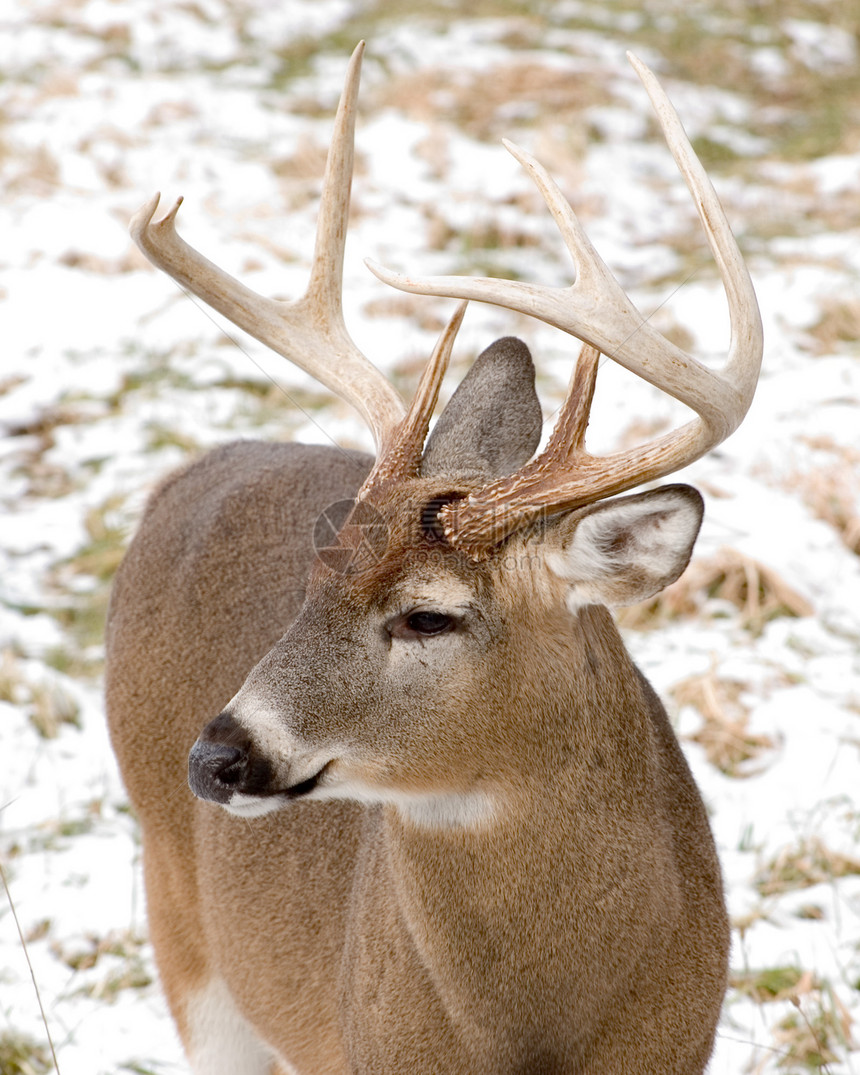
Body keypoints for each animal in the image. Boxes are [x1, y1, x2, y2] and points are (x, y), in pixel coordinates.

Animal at [105, 44, 761, 1075]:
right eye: (313, 583)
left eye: (428, 614)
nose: (220, 755)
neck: (537, 1031)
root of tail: (183, 475)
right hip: (184, 931)